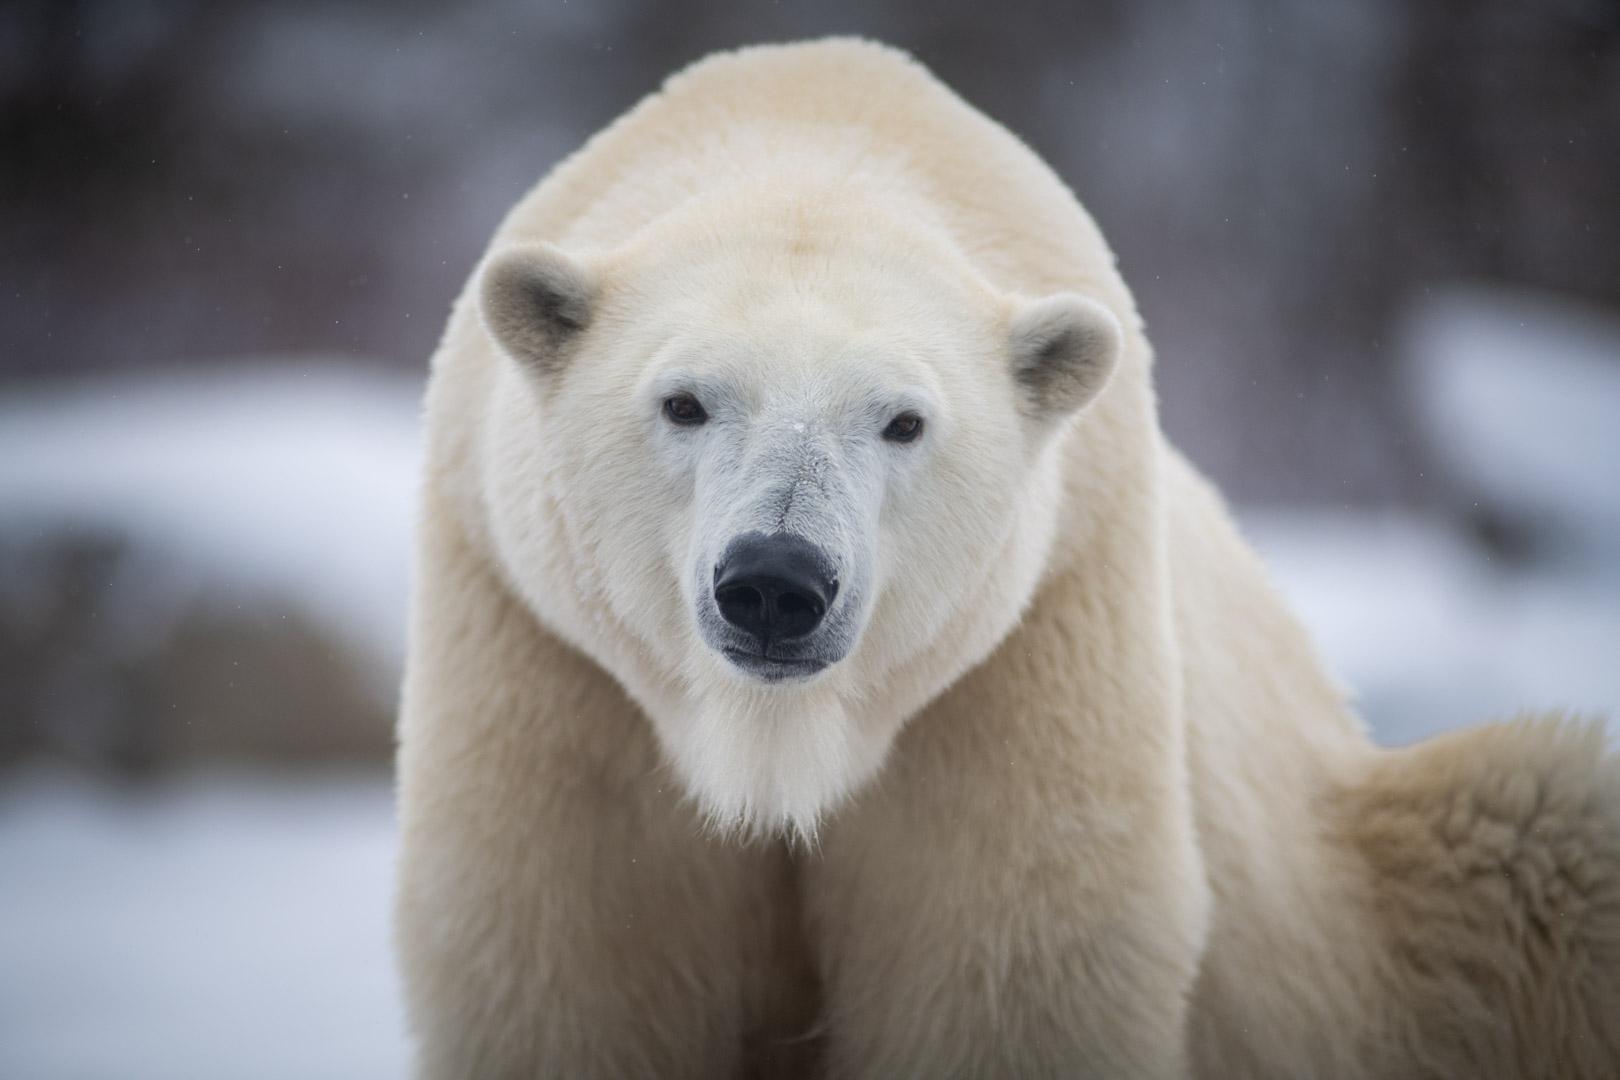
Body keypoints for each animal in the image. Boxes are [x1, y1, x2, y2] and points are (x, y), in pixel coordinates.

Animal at [395, 38, 1620, 1075]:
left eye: (902, 421)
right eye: (685, 401)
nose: (776, 585)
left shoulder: (1025, 650)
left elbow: (1011, 957)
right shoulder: (551, 662)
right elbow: (577, 958)